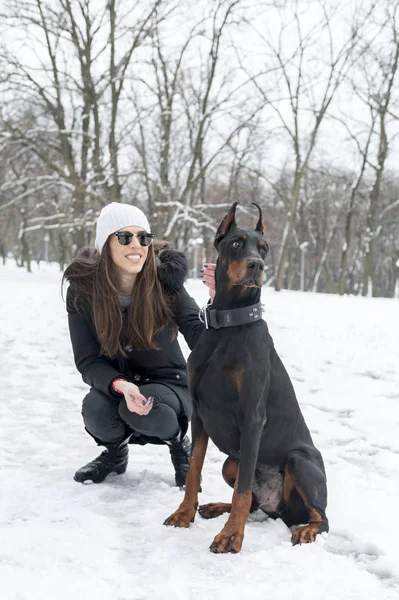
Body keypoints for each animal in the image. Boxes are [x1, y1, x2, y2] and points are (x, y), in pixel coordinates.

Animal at [164, 202, 330, 552]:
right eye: (237, 243)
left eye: (264, 248)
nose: (257, 265)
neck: (228, 324)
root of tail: (281, 509)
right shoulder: (200, 414)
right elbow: (194, 471)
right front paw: (184, 514)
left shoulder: (252, 417)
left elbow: (241, 491)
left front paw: (231, 537)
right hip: (232, 461)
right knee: (253, 500)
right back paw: (216, 506)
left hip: (300, 461)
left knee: (322, 517)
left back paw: (306, 530)